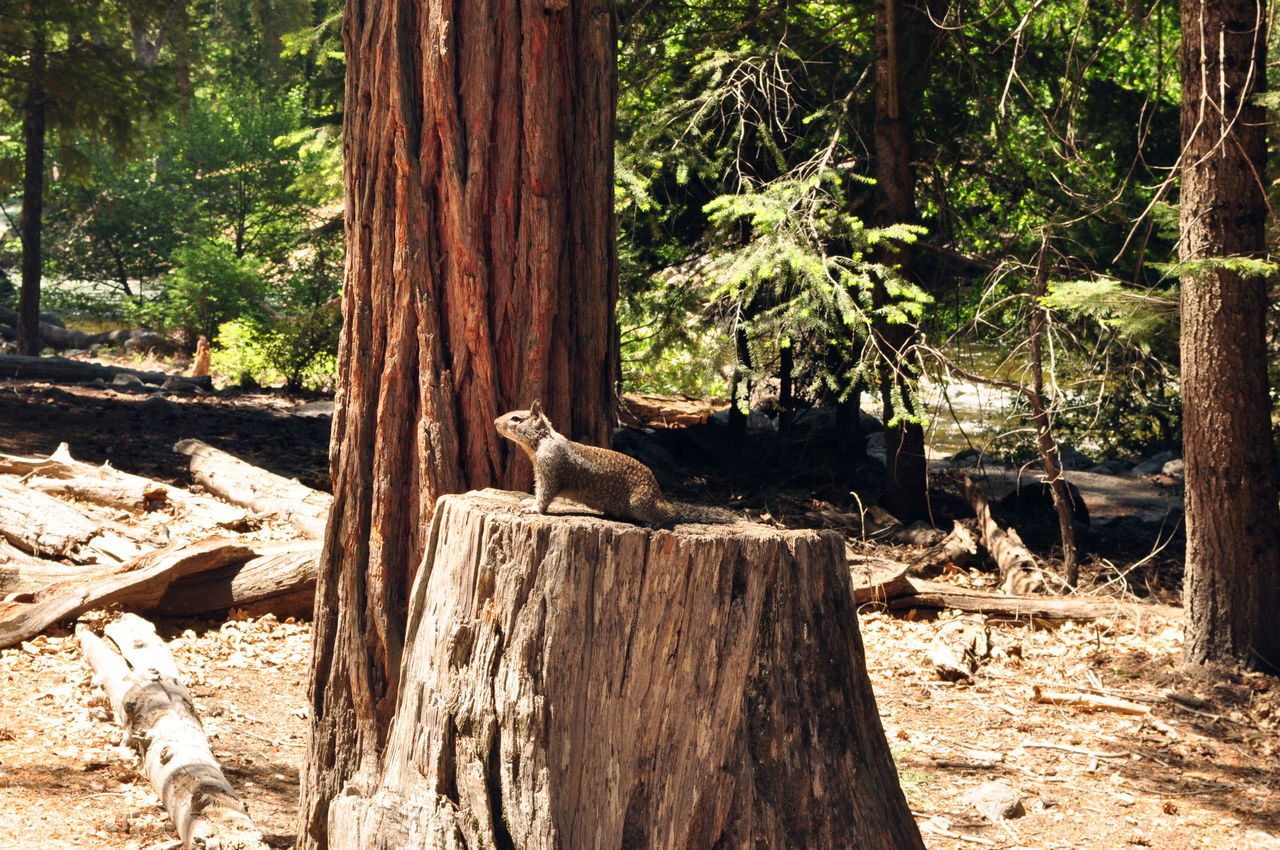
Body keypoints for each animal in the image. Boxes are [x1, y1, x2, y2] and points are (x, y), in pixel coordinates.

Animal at [491, 401, 737, 527]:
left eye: (516, 418)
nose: (494, 422)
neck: (542, 441)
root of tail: (661, 497)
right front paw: (527, 501)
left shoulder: (550, 468)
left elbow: (545, 494)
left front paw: (534, 508)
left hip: (640, 502)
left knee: (667, 517)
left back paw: (655, 523)